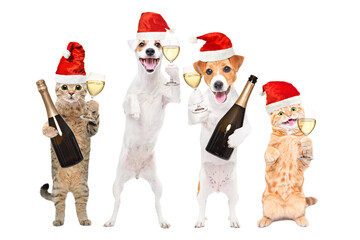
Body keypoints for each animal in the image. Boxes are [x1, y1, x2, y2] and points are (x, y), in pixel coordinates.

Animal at [190, 54, 252, 229]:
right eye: (208, 71)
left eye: (226, 68)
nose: (218, 84)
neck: (220, 107)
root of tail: (217, 188)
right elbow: (205, 117)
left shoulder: (247, 123)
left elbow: (245, 129)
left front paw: (233, 138)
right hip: (201, 188)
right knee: (202, 205)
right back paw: (200, 220)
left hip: (234, 189)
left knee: (232, 205)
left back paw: (234, 220)